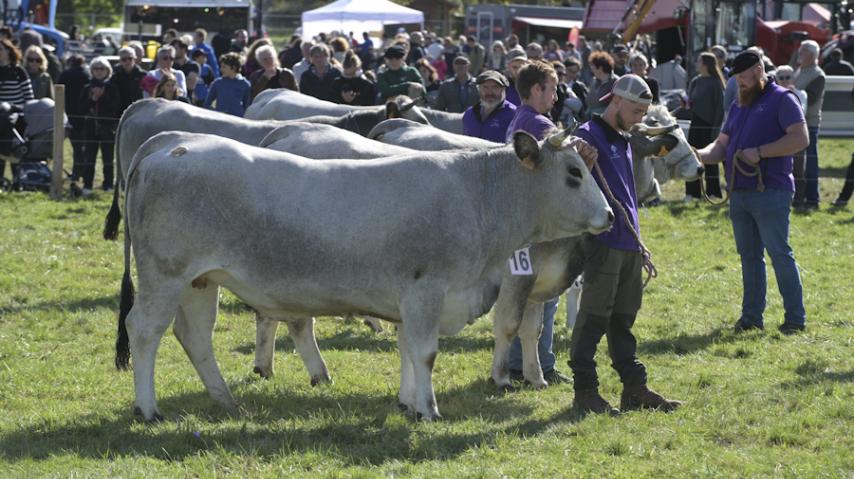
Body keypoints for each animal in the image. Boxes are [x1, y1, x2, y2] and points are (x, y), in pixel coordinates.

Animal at [115, 129, 613, 422]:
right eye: (574, 173)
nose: (609, 215)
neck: (476, 194)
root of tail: (171, 144)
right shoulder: (426, 291)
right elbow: (426, 353)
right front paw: (429, 409)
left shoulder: (409, 299)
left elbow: (408, 350)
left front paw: (409, 403)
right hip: (165, 275)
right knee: (143, 331)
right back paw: (147, 408)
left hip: (200, 281)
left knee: (195, 336)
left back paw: (224, 399)